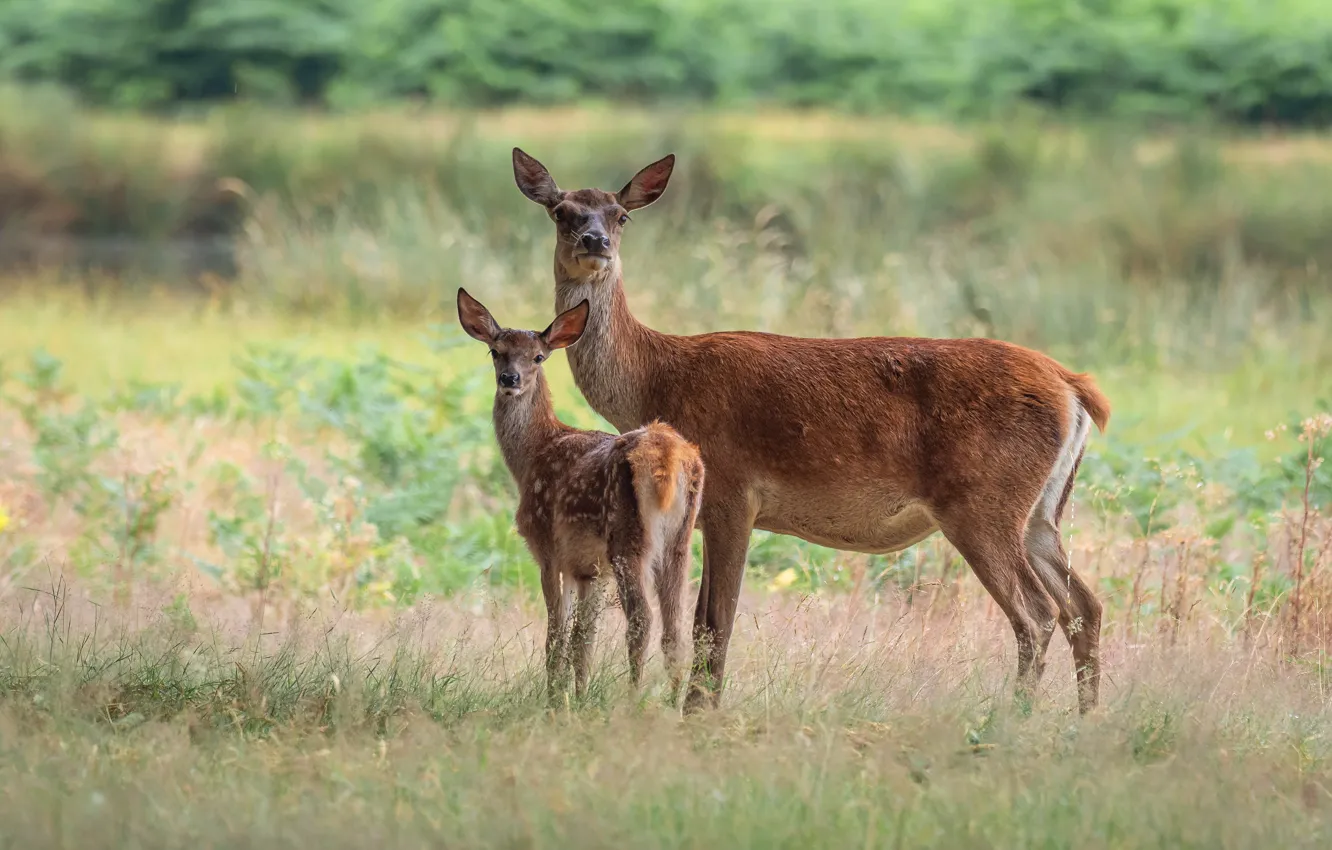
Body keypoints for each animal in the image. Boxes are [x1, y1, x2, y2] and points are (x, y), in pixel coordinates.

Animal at [457, 287, 705, 706]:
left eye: (538, 357)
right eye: (496, 350)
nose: (510, 378)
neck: (532, 454)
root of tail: (668, 453)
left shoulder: (548, 549)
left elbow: (556, 636)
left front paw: (557, 702)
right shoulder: (590, 568)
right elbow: (583, 640)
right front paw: (581, 697)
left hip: (628, 537)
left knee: (642, 619)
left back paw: (632, 700)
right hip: (679, 542)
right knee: (675, 627)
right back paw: (671, 705)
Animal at [511, 147, 1113, 715]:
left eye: (622, 215)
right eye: (561, 211)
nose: (594, 241)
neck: (656, 377)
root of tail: (1073, 387)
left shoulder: (733, 492)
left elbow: (716, 622)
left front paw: (698, 714)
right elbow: (707, 622)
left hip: (983, 502)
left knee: (1038, 614)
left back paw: (1009, 719)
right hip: (1040, 512)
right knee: (1084, 605)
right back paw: (1084, 720)